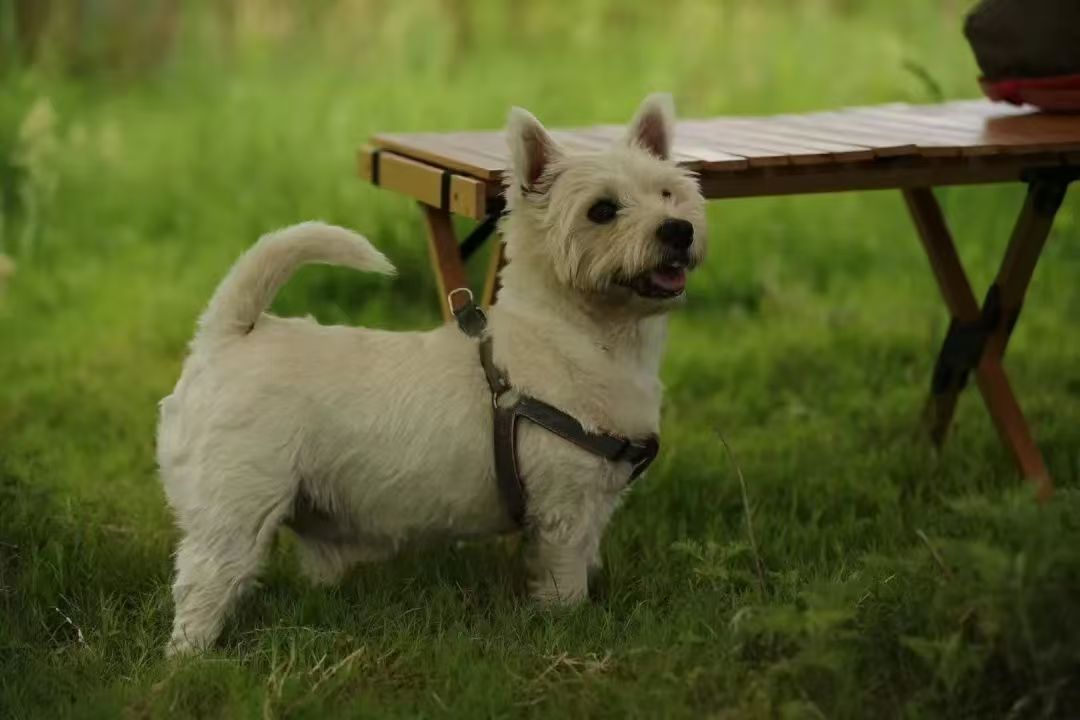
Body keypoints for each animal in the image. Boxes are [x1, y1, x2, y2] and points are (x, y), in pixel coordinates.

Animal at [156, 92, 704, 656]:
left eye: (668, 193)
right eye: (602, 210)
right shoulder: (564, 507)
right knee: (204, 581)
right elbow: (564, 577)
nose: (678, 229)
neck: (583, 337)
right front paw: (570, 624)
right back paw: (192, 656)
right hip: (236, 507)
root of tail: (230, 333)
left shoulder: (590, 506)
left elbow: (588, 555)